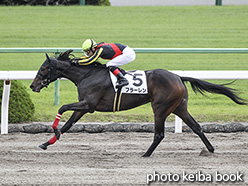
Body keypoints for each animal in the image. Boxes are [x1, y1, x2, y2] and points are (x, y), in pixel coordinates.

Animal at [30, 50, 246, 156]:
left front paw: (54, 131)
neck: (86, 75)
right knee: (197, 127)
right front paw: (46, 143)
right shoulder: (83, 107)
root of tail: (178, 77)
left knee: (159, 134)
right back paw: (210, 149)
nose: (33, 86)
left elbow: (62, 108)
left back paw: (145, 154)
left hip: (160, 108)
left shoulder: (88, 105)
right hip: (179, 107)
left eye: (43, 68)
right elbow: (68, 124)